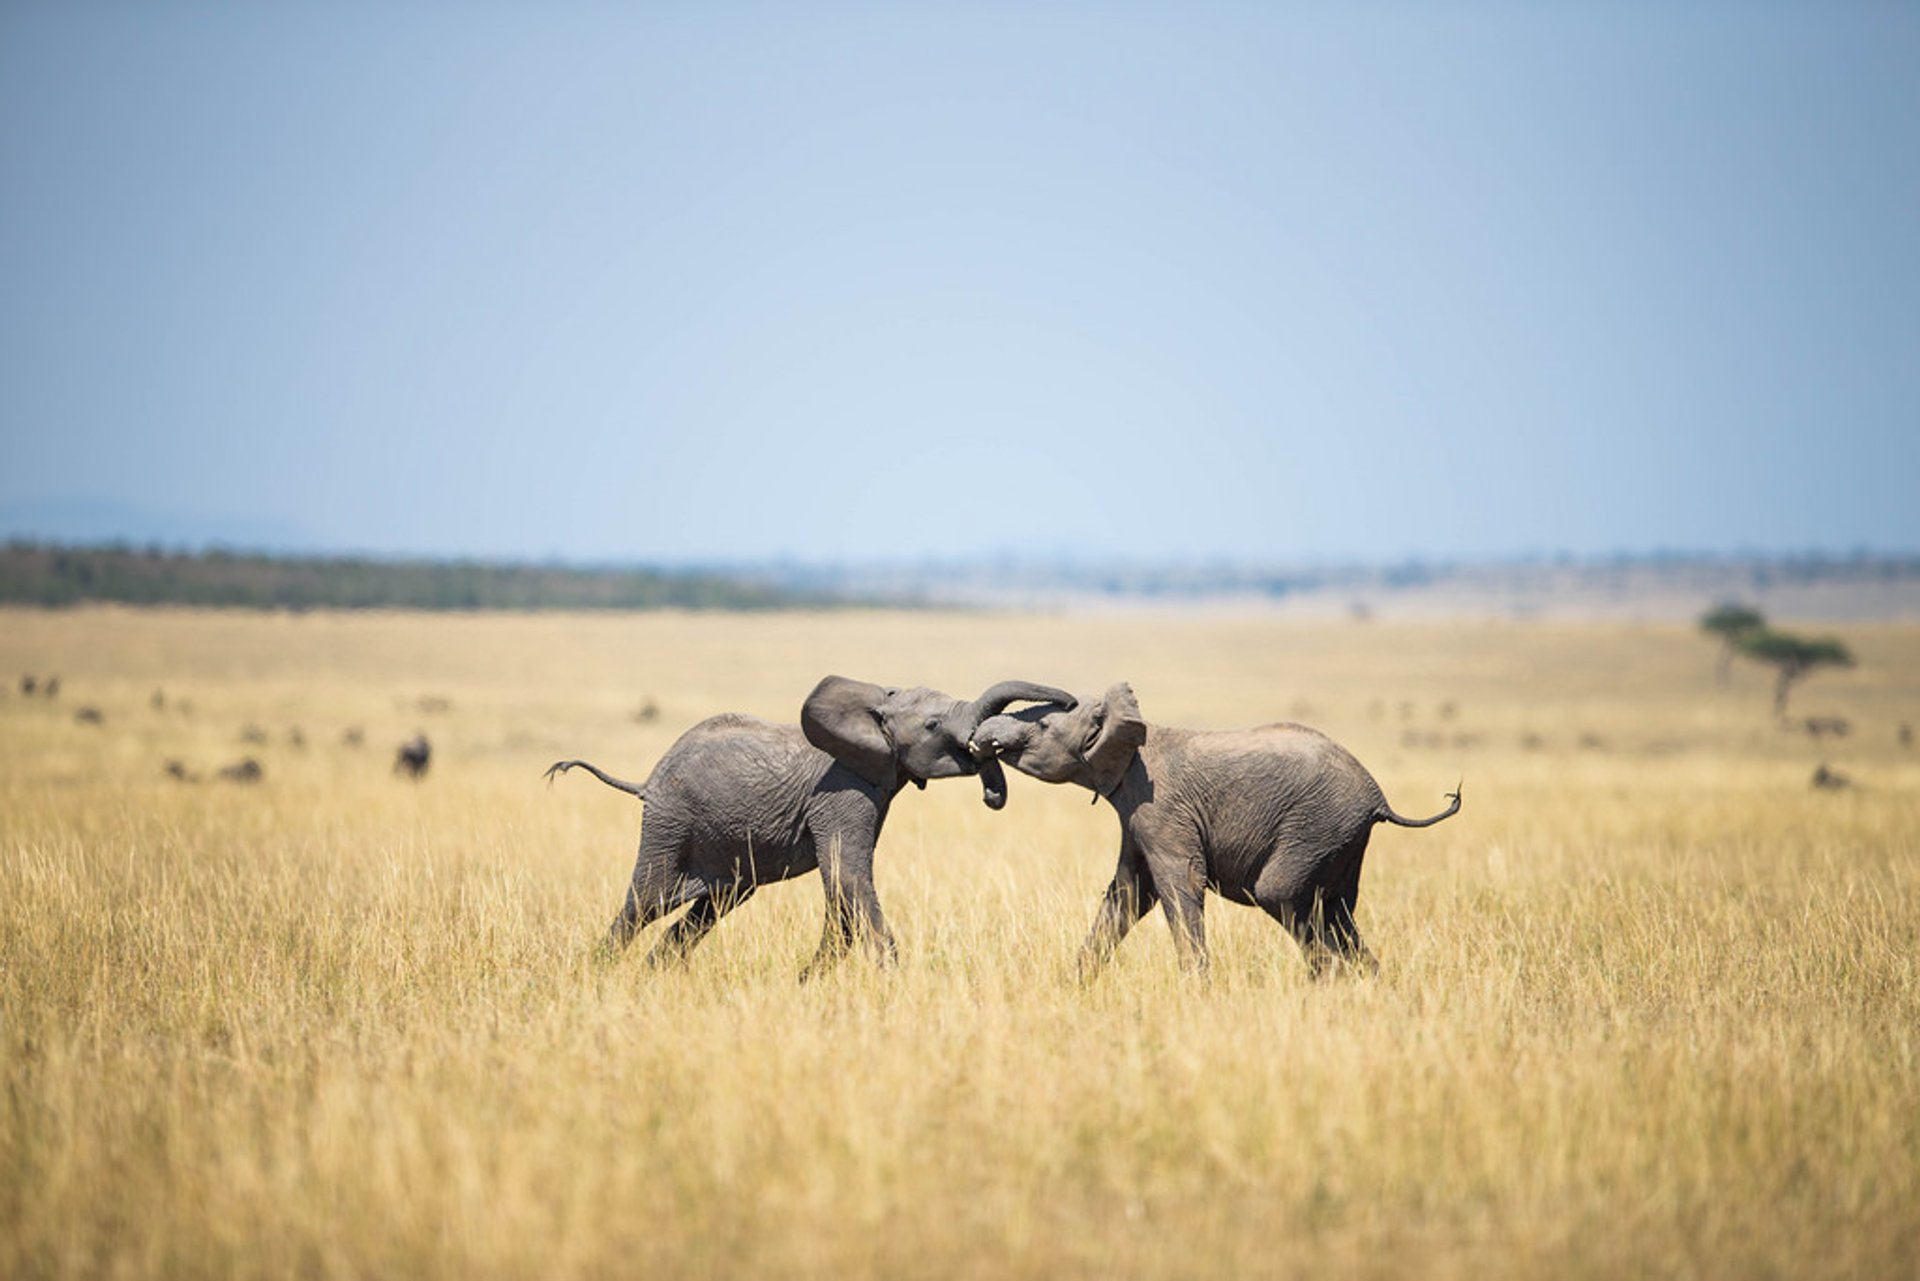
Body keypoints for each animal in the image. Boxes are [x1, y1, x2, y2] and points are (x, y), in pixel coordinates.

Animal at [549, 679, 1075, 983]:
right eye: (931, 724)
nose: (1069, 702)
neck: (871, 708)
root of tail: (646, 780)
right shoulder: (844, 791)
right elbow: (847, 876)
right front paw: (894, 986)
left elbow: (843, 888)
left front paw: (807, 984)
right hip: (670, 822)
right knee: (645, 901)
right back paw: (599, 974)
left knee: (712, 905)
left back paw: (652, 976)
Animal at [975, 687, 1451, 975]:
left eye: (1042, 727)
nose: (981, 743)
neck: (1135, 734)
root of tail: (1377, 797)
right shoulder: (1136, 817)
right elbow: (1128, 892)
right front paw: (1076, 983)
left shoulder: (1161, 809)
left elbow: (1179, 883)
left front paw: (1196, 990)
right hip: (1341, 840)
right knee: (1337, 909)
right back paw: (1366, 982)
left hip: (1318, 826)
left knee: (1281, 894)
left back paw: (1331, 979)